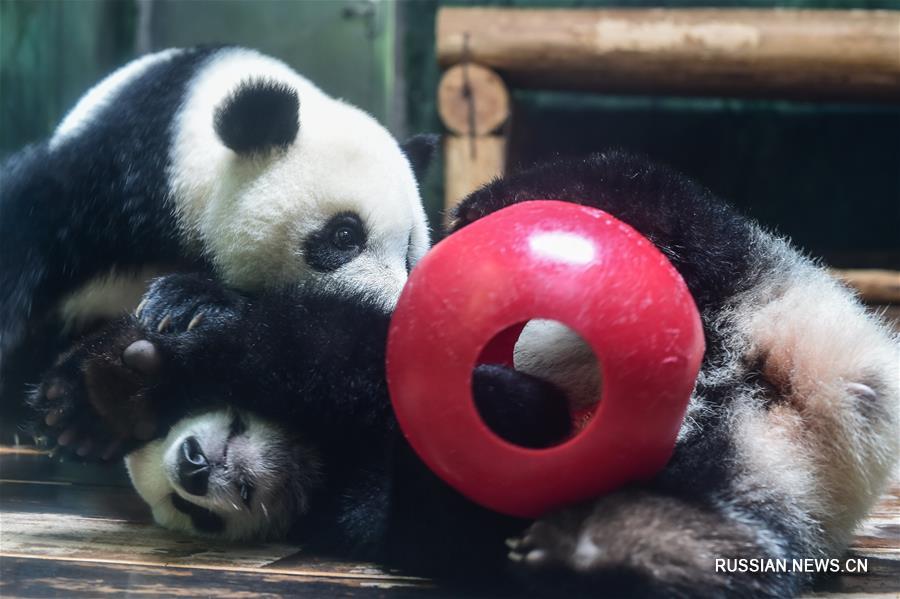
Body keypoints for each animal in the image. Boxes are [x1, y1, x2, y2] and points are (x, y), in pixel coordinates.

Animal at [0, 47, 436, 440]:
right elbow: (34, 211)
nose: (391, 313)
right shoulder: (127, 172)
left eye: (410, 253)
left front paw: (188, 301)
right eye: (345, 235)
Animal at [24, 152, 896, 596]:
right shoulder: (359, 499)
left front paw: (129, 377)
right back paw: (616, 543)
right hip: (750, 479)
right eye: (190, 513)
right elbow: (430, 510)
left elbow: (326, 344)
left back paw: (495, 199)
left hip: (734, 268)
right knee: (724, 542)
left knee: (638, 191)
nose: (195, 465)